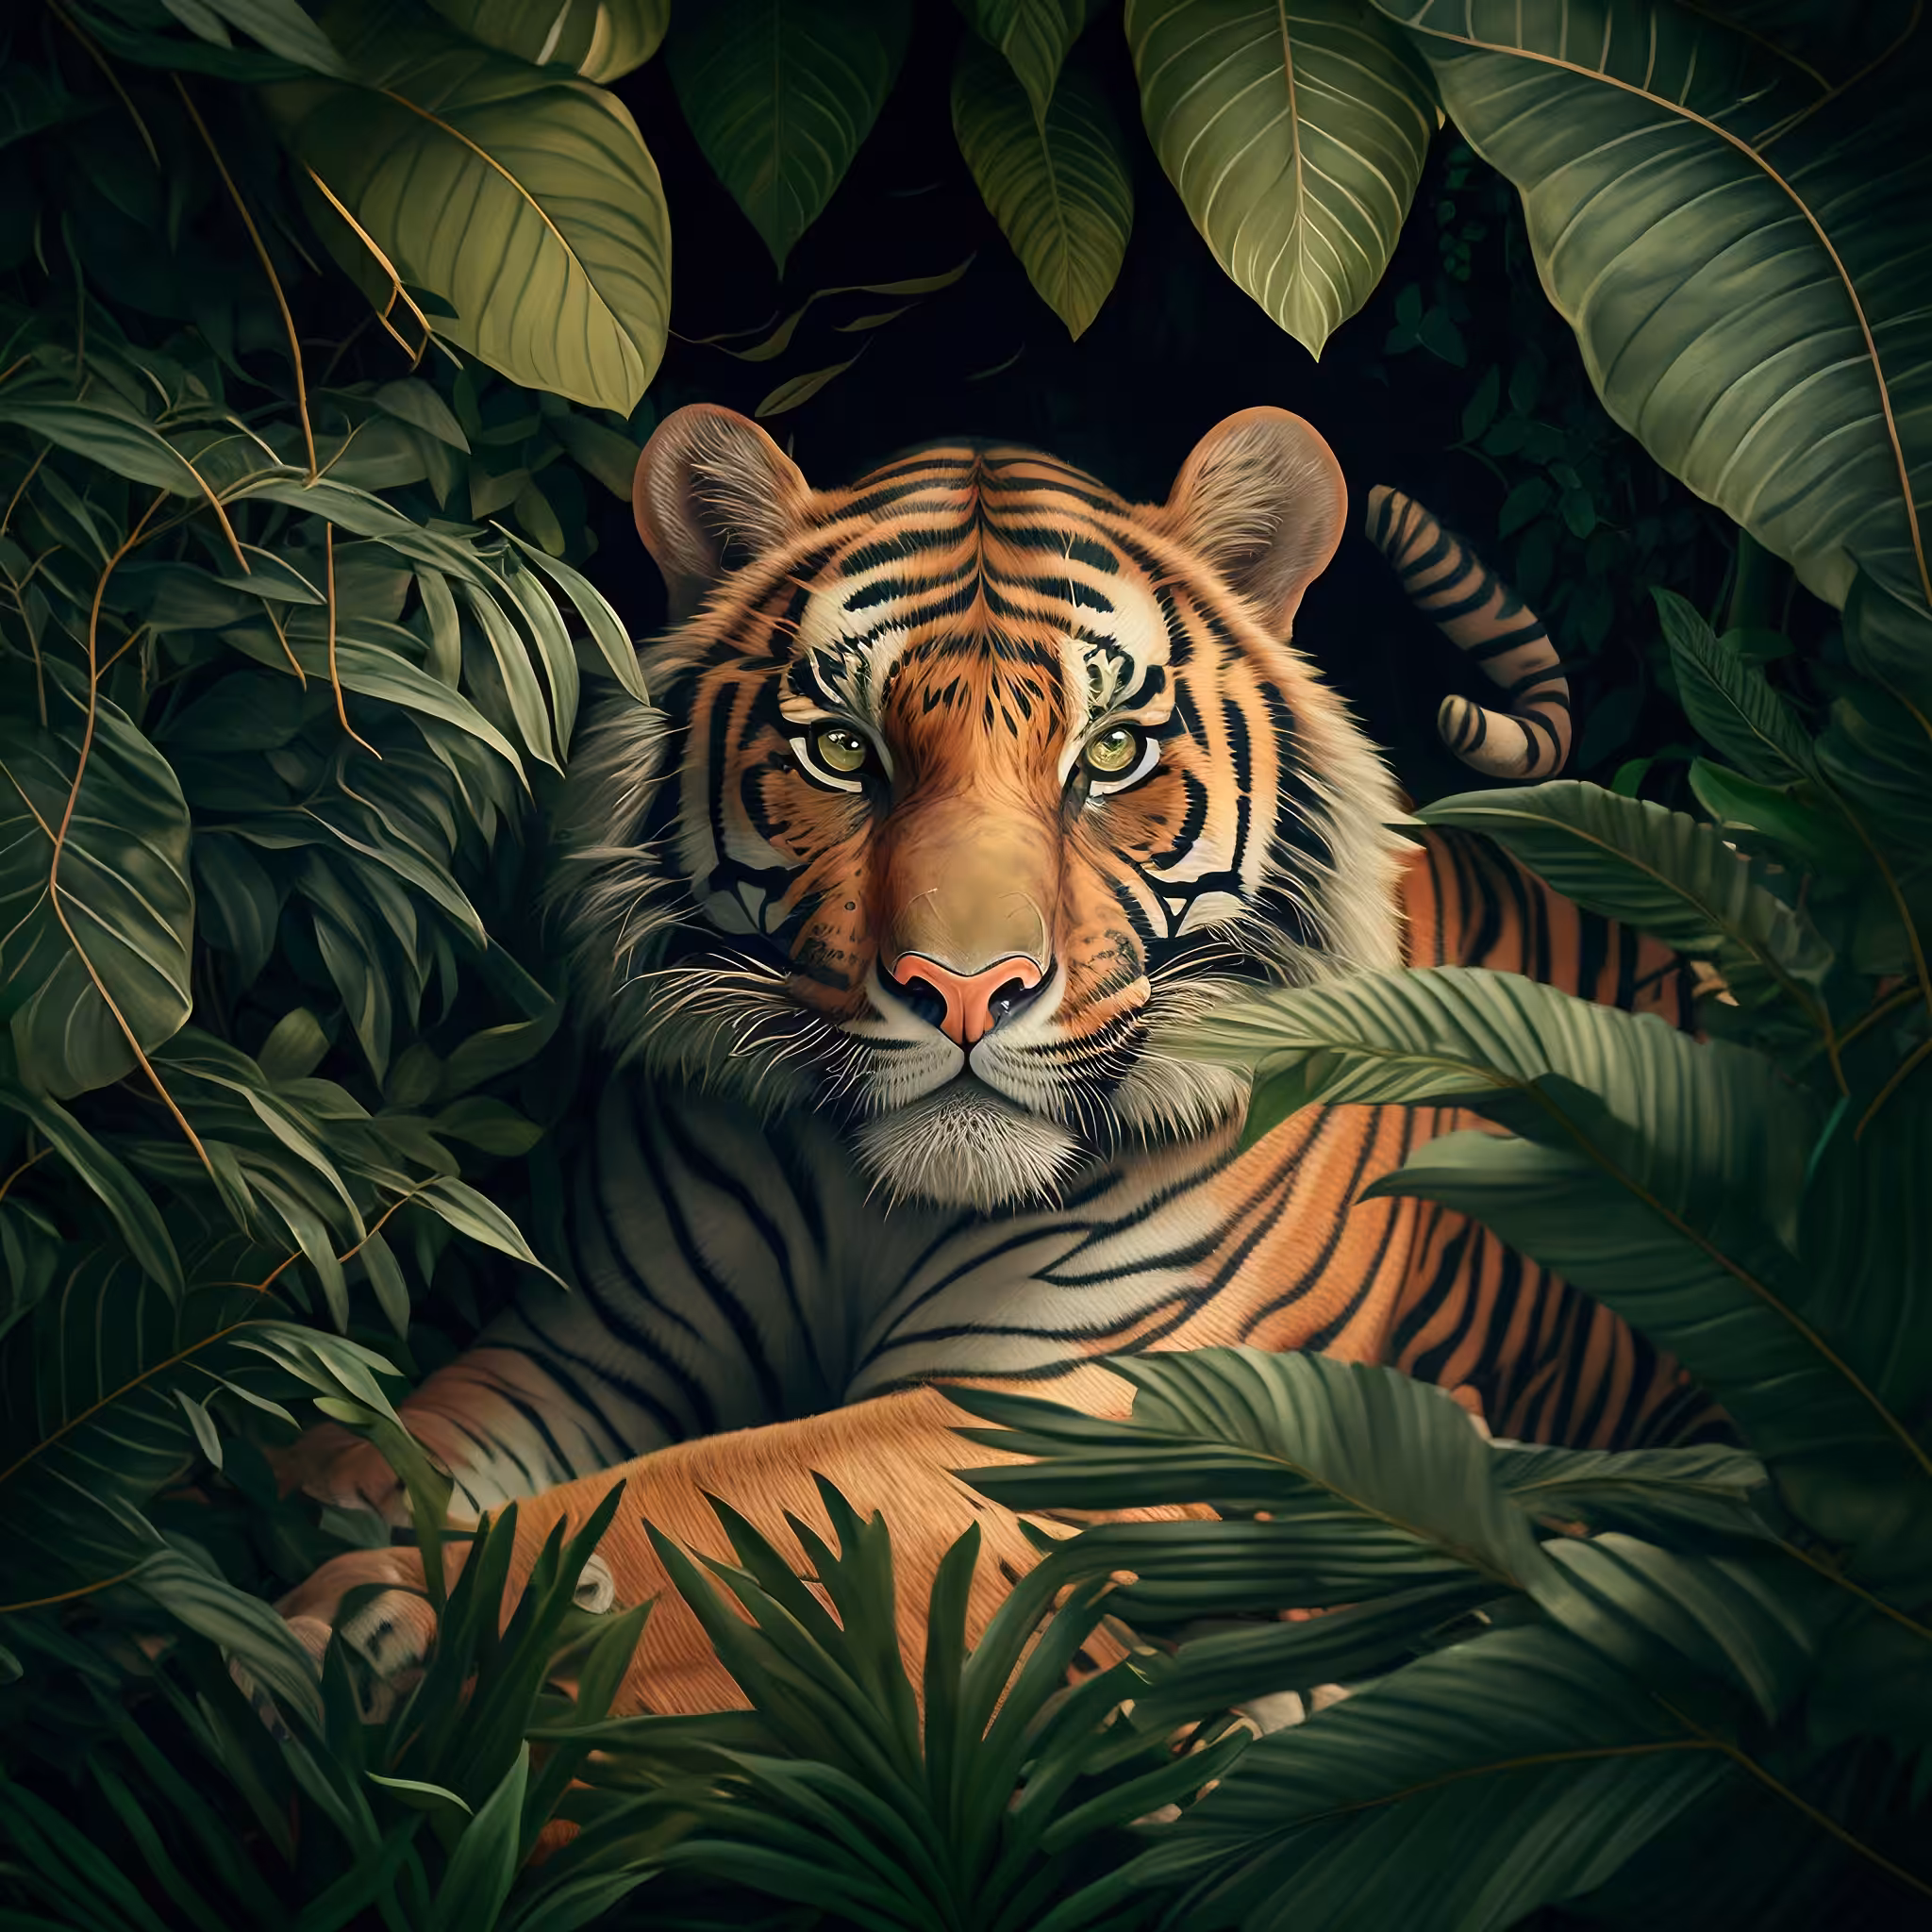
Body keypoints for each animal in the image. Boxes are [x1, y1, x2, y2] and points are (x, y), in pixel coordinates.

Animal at [276, 406, 1707, 1720]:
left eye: (1110, 753)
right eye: (842, 751)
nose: (966, 991)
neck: (880, 1202)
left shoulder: (1063, 1402)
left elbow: (693, 1499)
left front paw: (405, 1615)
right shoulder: (596, 1342)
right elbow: (408, 1436)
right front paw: (324, 1518)